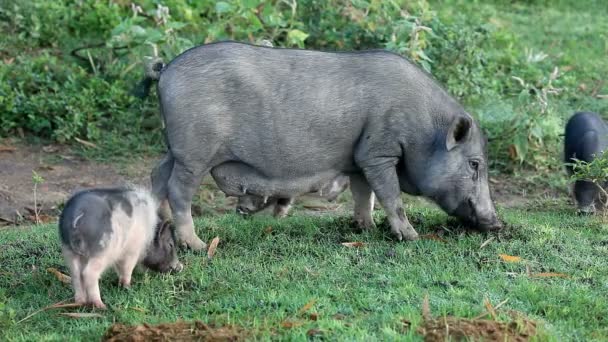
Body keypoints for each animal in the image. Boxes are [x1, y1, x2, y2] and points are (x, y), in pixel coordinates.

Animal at [145, 41, 502, 250]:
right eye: (474, 164)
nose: (498, 223)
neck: (424, 130)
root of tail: (166, 72)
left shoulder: (357, 159)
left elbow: (364, 194)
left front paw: (365, 228)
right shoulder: (378, 152)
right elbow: (390, 195)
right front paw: (410, 237)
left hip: (175, 150)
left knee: (156, 177)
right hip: (194, 152)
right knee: (178, 189)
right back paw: (197, 245)